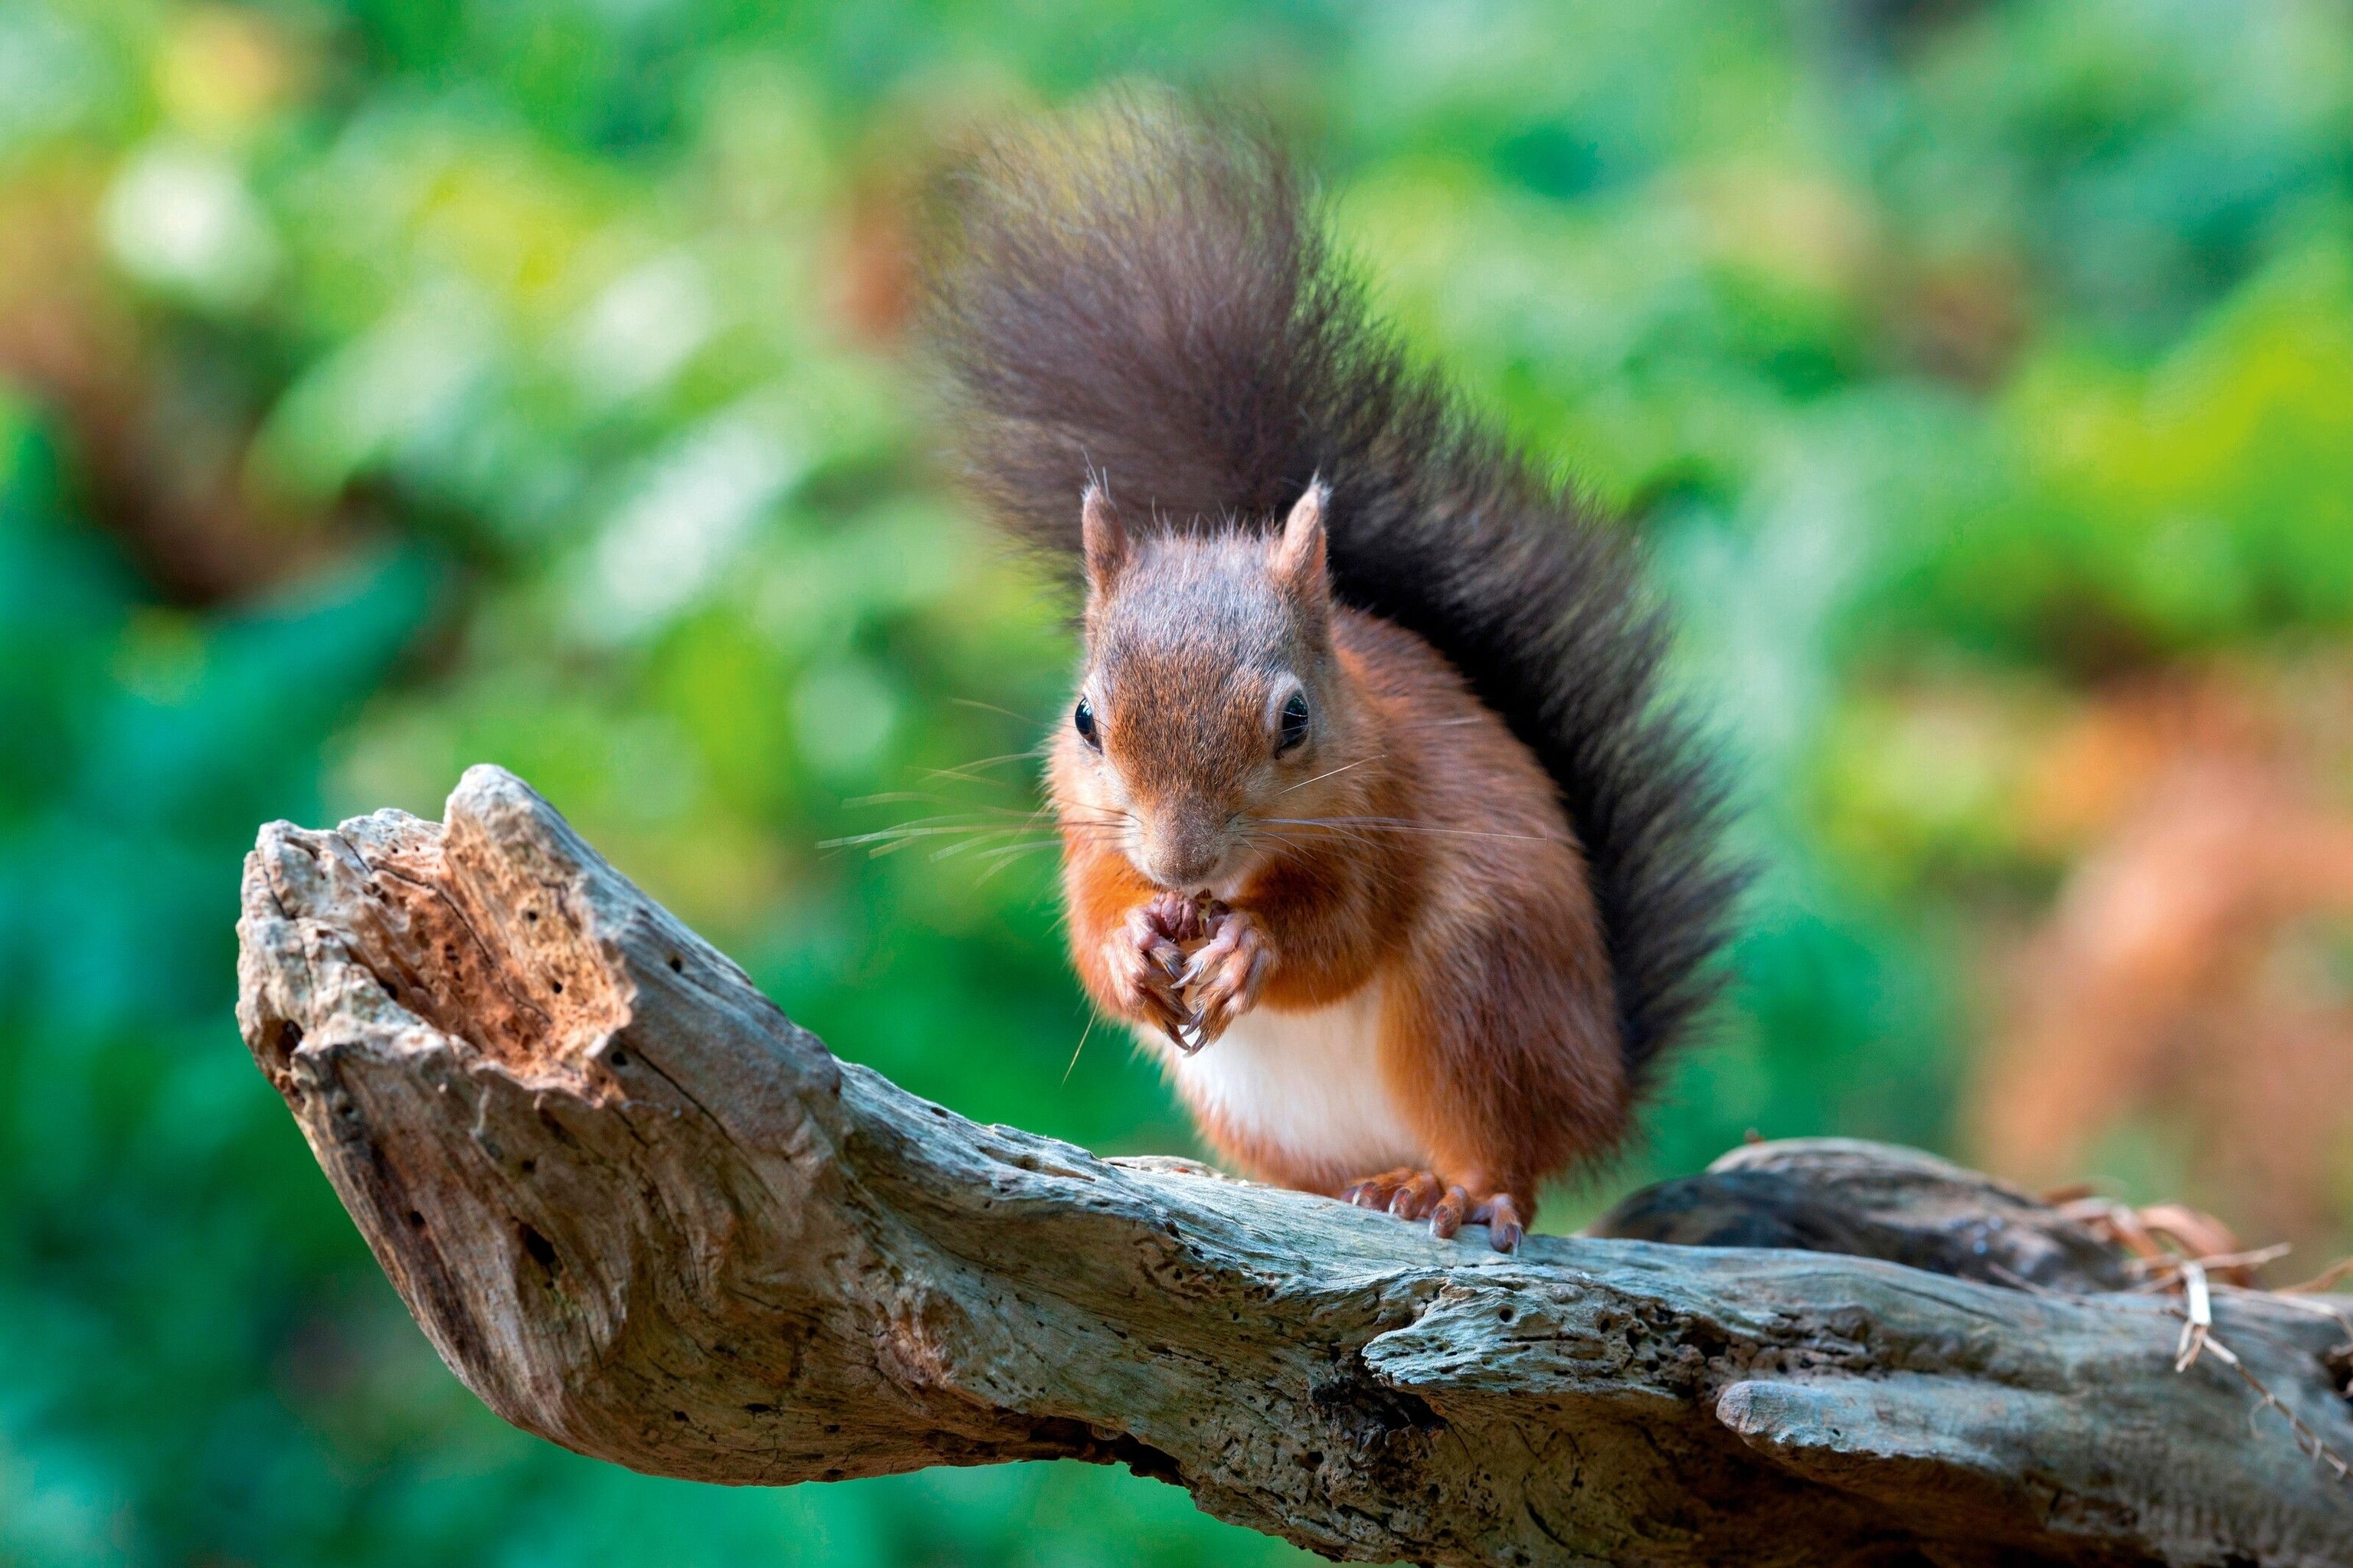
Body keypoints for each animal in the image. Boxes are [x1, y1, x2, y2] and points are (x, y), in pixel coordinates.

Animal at [922, 103, 1741, 1250]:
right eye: (1085, 718)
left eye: (1296, 720)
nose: (1179, 864)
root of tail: (1602, 1084)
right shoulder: (1084, 829)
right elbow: (1088, 931)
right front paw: (1131, 942)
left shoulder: (1391, 808)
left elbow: (1344, 933)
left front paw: (1252, 947)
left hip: (1477, 998)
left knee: (1507, 1158)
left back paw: (1449, 1190)